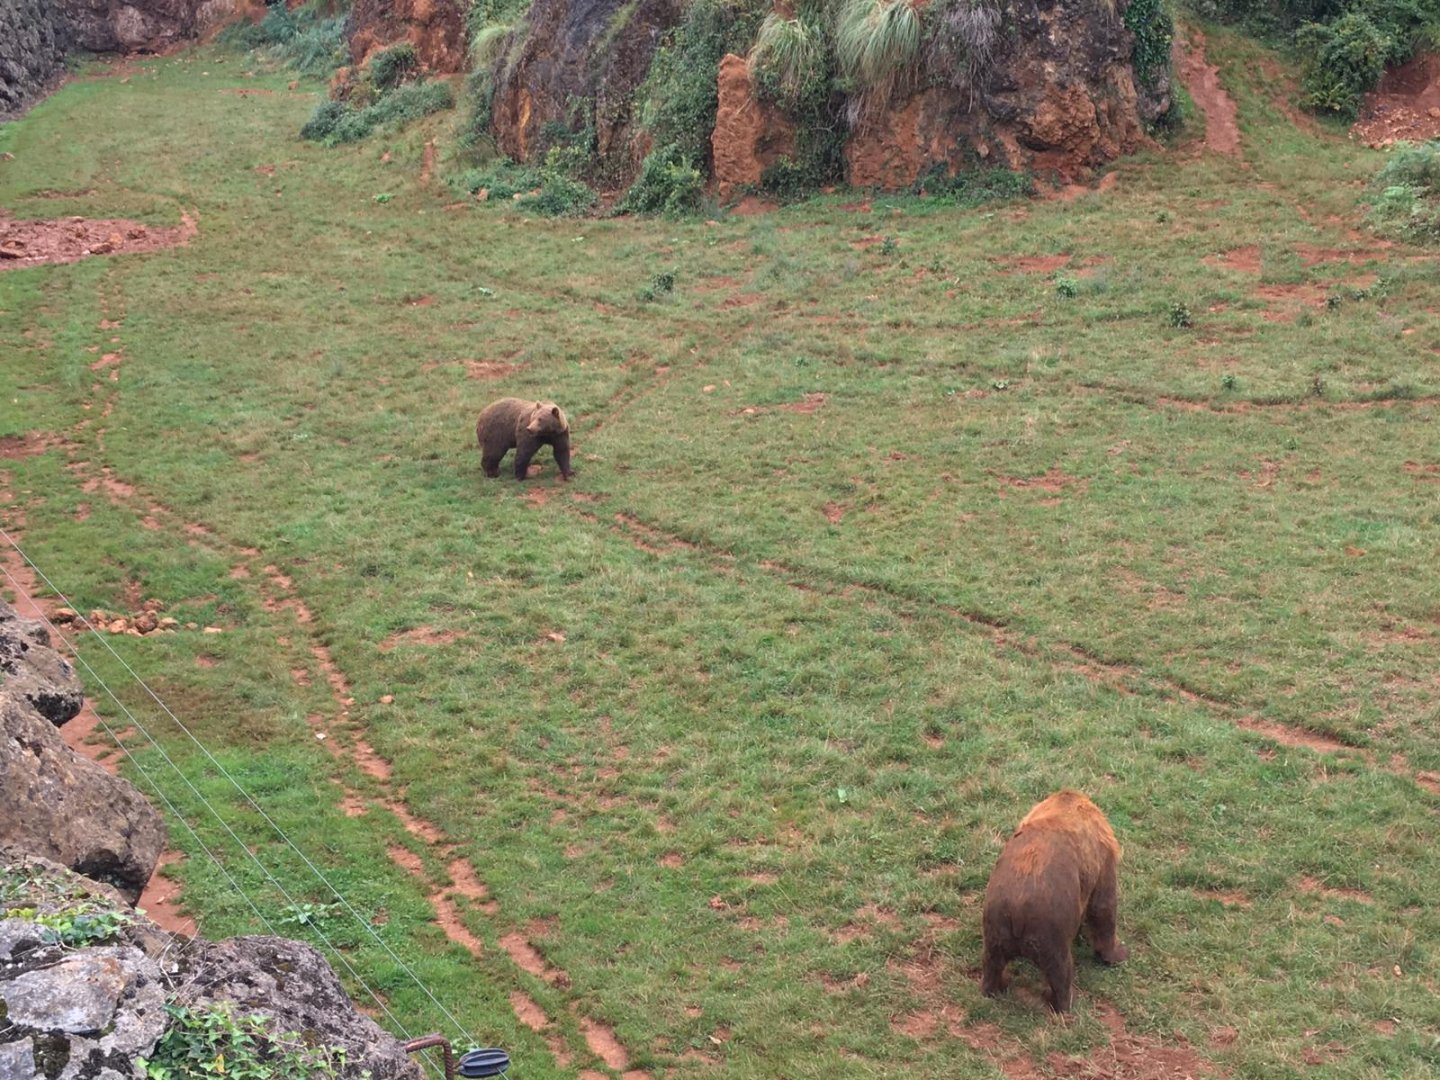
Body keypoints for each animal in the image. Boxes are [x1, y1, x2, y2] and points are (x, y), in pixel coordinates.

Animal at [980, 789, 1128, 1013]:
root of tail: (1018, 913)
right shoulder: (1102, 859)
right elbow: (1103, 907)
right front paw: (1116, 954)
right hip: (1052, 935)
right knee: (1060, 972)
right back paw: (1062, 1003)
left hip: (995, 927)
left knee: (992, 964)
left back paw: (995, 988)